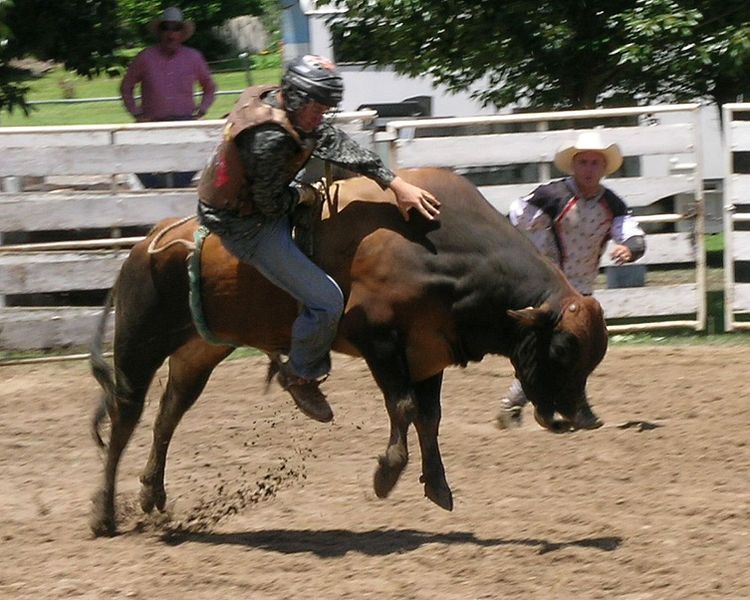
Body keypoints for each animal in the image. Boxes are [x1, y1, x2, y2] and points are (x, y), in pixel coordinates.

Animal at [91, 168, 612, 536]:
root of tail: (146, 242)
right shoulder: (378, 340)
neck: (441, 251)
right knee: (125, 418)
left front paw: (437, 485)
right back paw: (104, 515)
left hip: (199, 349)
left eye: (592, 358)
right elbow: (403, 406)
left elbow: (429, 417)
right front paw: (387, 473)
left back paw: (152, 494)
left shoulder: (429, 352)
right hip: (139, 345)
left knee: (168, 414)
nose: (585, 419)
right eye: (562, 349)